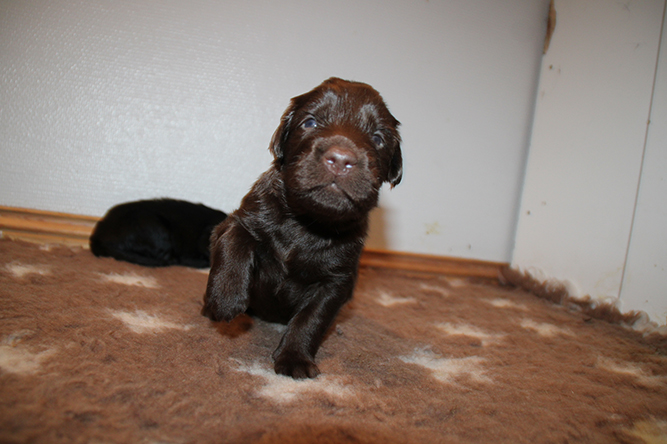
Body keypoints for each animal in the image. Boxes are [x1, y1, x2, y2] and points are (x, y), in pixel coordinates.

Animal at [202, 78, 402, 378]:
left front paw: (294, 358)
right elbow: (235, 239)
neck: (308, 222)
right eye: (310, 122)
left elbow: (312, 318)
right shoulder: (240, 219)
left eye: (378, 138)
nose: (340, 159)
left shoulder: (336, 280)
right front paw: (226, 299)